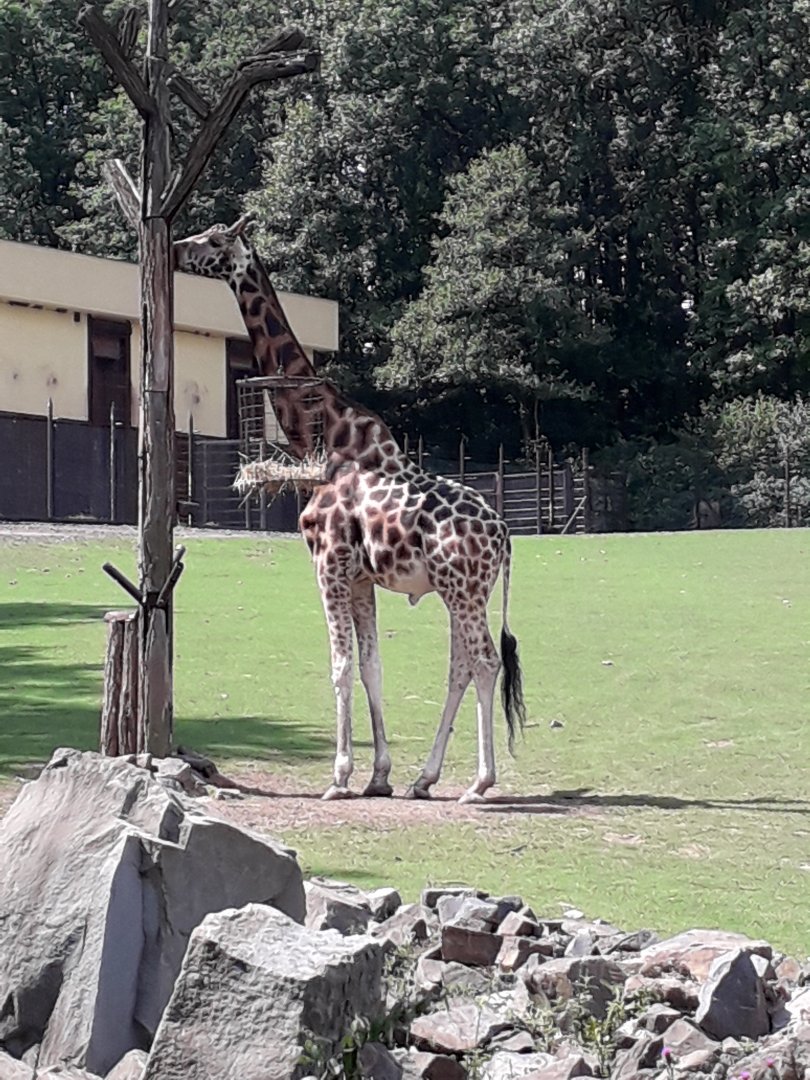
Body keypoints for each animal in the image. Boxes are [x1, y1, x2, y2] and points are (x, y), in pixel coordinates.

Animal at [173, 217, 527, 803]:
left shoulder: (328, 565)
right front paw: (378, 775)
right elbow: (371, 666)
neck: (321, 436)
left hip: (463, 588)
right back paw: (424, 778)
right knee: (460, 666)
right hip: (460, 592)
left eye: (216, 239)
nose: (177, 249)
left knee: (483, 661)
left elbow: (339, 665)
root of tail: (503, 533)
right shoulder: (361, 578)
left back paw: (480, 783)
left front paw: (339, 777)